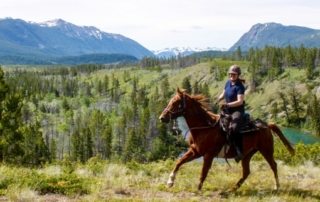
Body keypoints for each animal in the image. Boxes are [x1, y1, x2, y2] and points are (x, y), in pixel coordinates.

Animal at [158, 89, 296, 193]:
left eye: (176, 102)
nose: (162, 117)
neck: (204, 127)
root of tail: (267, 125)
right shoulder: (195, 151)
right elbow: (179, 162)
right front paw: (170, 182)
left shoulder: (208, 155)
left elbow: (203, 172)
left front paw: (198, 189)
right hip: (247, 155)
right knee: (246, 172)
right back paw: (233, 189)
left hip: (266, 150)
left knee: (273, 165)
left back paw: (277, 186)